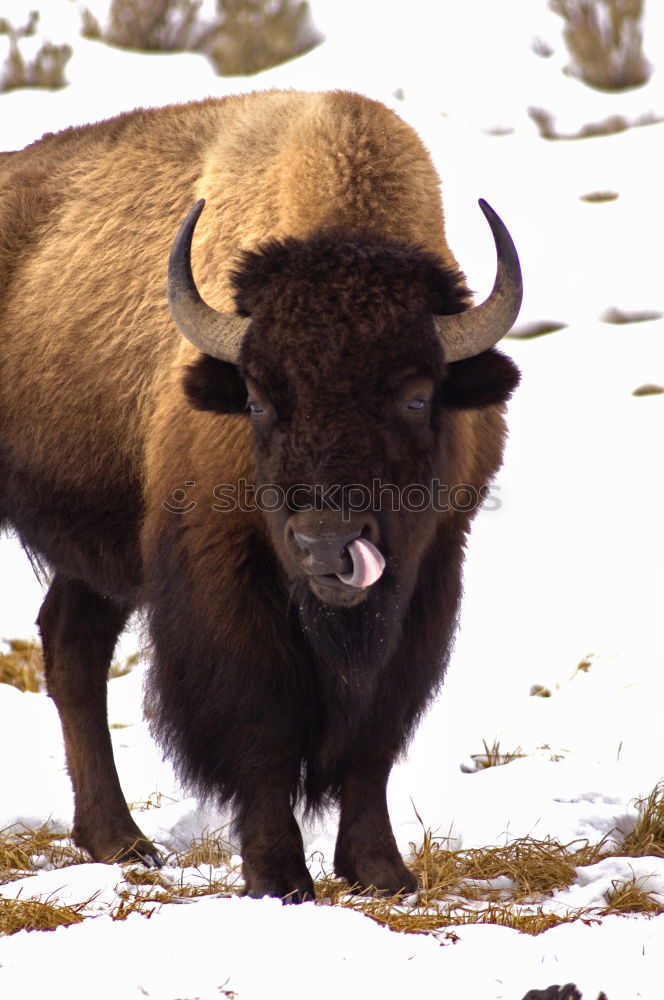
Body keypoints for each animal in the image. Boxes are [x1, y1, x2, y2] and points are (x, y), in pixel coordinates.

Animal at [0, 90, 520, 900]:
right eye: (257, 399)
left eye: (416, 396)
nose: (329, 546)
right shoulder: (220, 576)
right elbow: (261, 724)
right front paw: (278, 876)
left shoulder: (429, 571)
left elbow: (375, 732)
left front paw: (381, 871)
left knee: (71, 648)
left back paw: (121, 843)